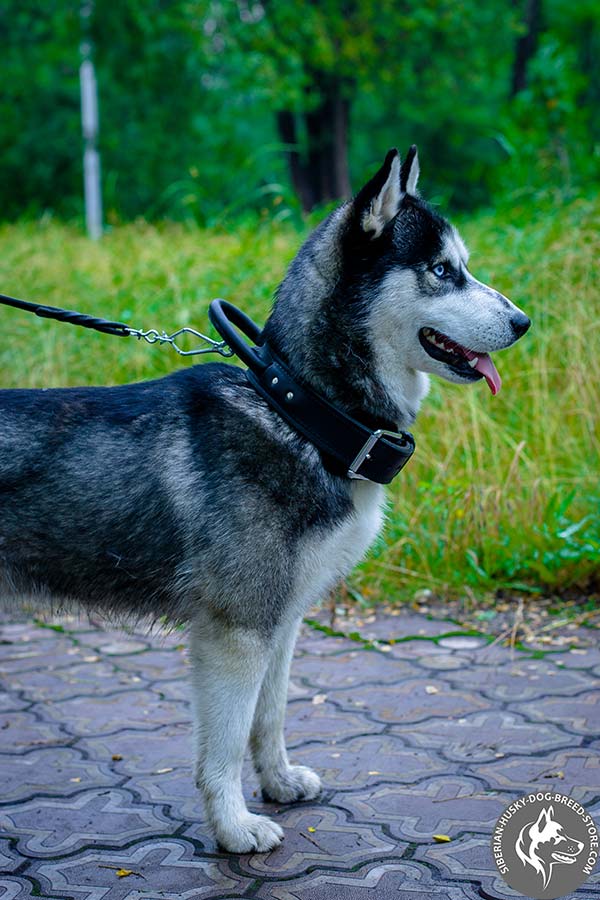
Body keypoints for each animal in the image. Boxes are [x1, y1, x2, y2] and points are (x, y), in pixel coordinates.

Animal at [0, 148, 528, 852]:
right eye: (443, 271)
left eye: (461, 265)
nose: (524, 322)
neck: (302, 412)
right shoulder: (237, 628)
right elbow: (223, 743)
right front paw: (233, 827)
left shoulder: (284, 619)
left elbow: (268, 716)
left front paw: (277, 783)